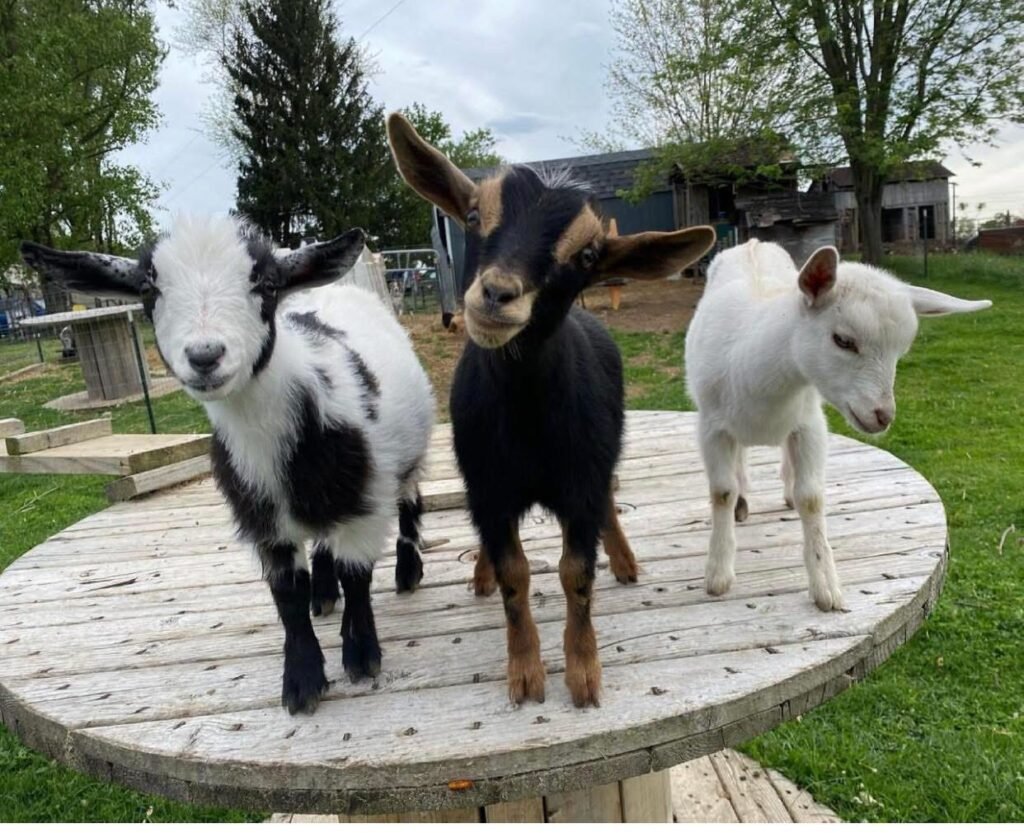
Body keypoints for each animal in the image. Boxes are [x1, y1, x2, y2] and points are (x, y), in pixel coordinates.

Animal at [20, 215, 435, 715]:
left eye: (267, 284)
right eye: (148, 289)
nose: (205, 356)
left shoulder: (364, 502)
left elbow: (357, 578)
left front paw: (360, 657)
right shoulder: (262, 516)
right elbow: (287, 597)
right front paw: (301, 682)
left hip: (405, 456)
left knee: (410, 501)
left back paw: (407, 571)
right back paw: (323, 593)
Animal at [387, 112, 715, 707]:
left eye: (587, 256)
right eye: (474, 215)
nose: (497, 294)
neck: (527, 419)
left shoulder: (580, 480)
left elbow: (576, 573)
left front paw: (583, 673)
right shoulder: (489, 486)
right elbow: (515, 575)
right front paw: (524, 673)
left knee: (610, 504)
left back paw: (626, 563)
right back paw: (481, 575)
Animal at [685, 240, 991, 611]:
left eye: (900, 351)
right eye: (843, 340)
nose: (882, 415)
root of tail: (753, 243)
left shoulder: (809, 425)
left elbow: (811, 498)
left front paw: (825, 587)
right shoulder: (711, 428)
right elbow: (722, 492)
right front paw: (717, 574)